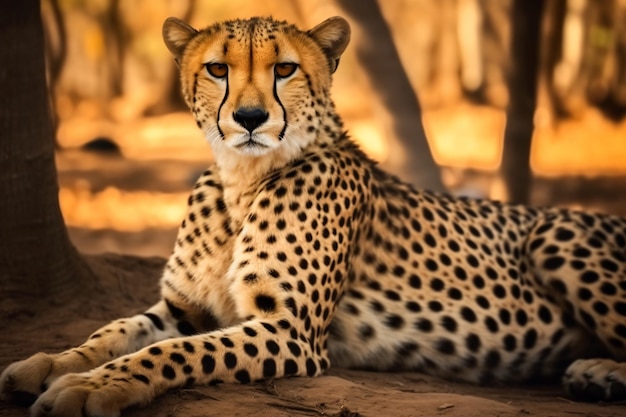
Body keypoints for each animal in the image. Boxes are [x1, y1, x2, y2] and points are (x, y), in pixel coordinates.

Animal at [1, 14, 624, 414]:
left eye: (284, 69)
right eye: (218, 70)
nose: (250, 118)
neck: (241, 181)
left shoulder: (289, 330)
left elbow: (173, 352)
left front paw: (91, 388)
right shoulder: (182, 309)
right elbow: (116, 329)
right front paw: (50, 363)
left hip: (553, 231)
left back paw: (600, 373)